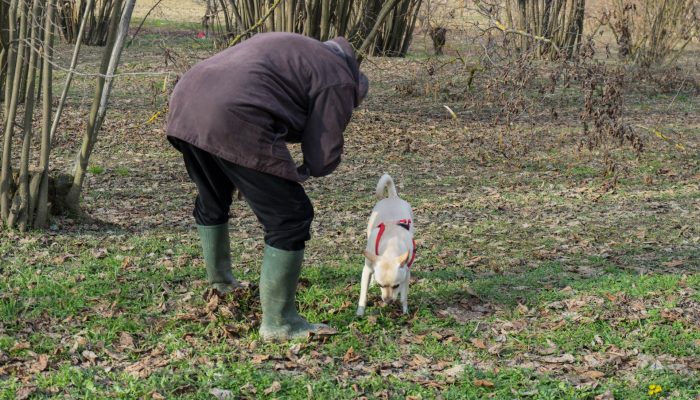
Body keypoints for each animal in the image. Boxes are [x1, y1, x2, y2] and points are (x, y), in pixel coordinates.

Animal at [356, 174, 416, 316]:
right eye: (380, 285)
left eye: (396, 286)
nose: (388, 301)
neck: (391, 246)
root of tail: (393, 196)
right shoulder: (366, 270)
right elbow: (363, 294)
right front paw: (360, 311)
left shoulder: (406, 274)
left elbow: (404, 296)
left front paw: (405, 311)